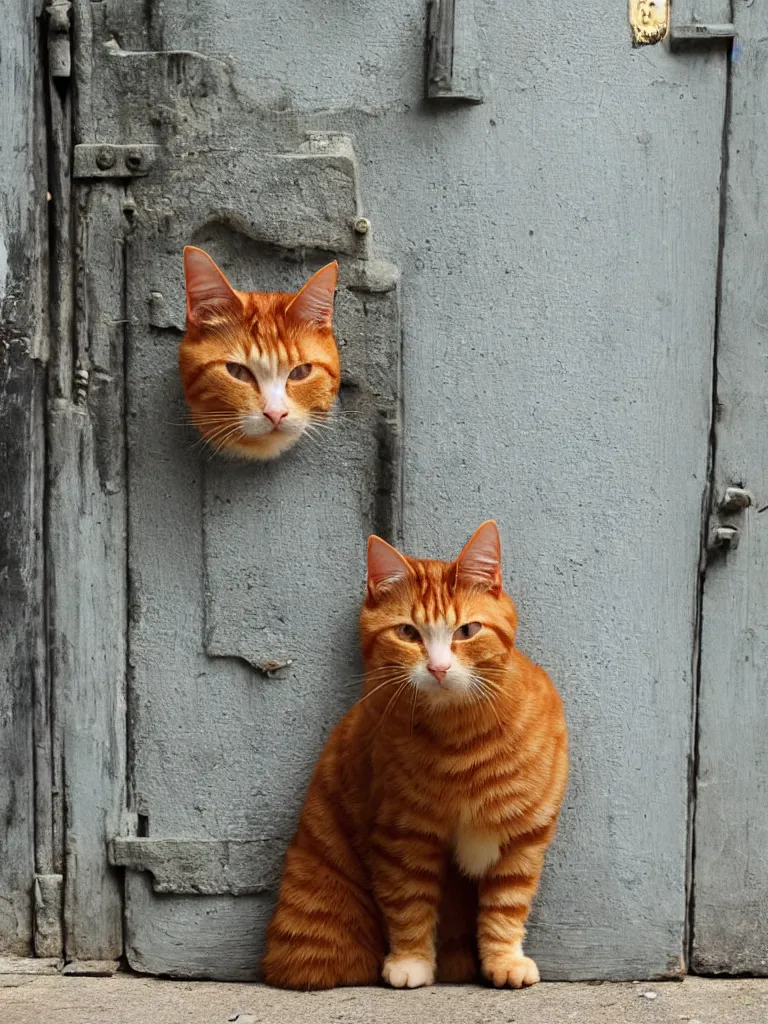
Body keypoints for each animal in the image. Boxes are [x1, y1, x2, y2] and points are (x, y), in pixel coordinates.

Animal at [264, 524, 573, 987]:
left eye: (467, 630)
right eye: (408, 633)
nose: (439, 668)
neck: (458, 737)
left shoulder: (523, 835)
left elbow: (506, 905)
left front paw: (504, 960)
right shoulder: (402, 836)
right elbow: (409, 903)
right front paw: (411, 962)